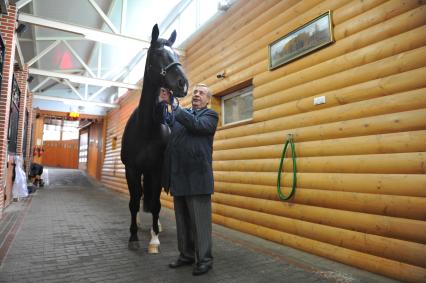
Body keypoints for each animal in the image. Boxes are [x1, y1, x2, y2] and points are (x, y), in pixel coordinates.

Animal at [120, 25, 186, 253]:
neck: (146, 129)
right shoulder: (132, 169)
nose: (183, 83)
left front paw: (154, 240)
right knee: (139, 197)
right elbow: (133, 201)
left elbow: (156, 204)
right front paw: (133, 237)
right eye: (158, 54)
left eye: (177, 55)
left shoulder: (157, 170)